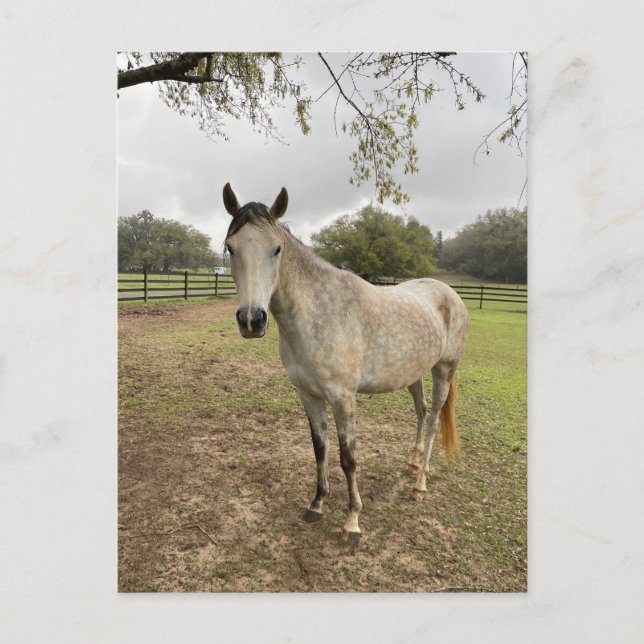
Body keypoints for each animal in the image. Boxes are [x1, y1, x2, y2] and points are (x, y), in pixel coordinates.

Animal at [222, 183, 469, 545]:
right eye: (231, 247)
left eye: (276, 249)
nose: (252, 320)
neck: (316, 313)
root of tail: (450, 294)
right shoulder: (309, 396)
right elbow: (320, 449)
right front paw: (316, 504)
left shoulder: (343, 398)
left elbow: (348, 458)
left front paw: (352, 522)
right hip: (413, 373)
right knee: (421, 412)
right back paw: (411, 464)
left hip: (444, 370)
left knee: (435, 419)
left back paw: (420, 483)